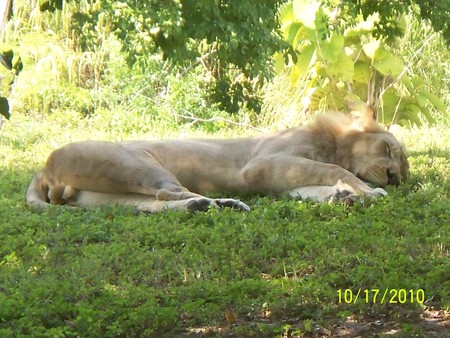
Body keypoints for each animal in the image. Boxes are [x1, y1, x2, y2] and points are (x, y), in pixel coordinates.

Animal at [26, 104, 410, 213]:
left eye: (404, 173)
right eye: (388, 150)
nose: (394, 178)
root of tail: (42, 169)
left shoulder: (276, 179)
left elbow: (312, 188)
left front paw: (342, 195)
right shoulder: (262, 166)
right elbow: (333, 169)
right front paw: (365, 191)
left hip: (107, 194)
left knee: (152, 204)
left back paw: (208, 206)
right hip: (136, 164)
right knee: (166, 192)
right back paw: (223, 204)